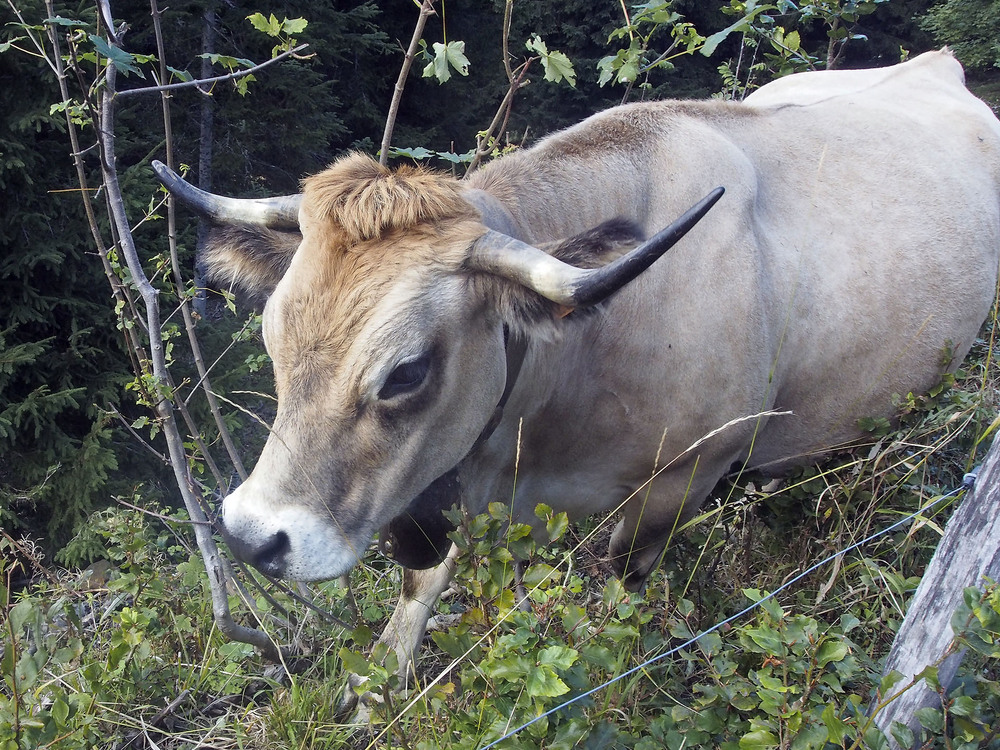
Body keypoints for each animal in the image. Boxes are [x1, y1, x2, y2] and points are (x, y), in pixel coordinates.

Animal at [154, 50, 1000, 708]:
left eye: (406, 372)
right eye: (272, 335)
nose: (253, 536)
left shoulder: (677, 484)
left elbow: (615, 604)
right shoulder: (459, 478)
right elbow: (418, 594)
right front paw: (374, 689)